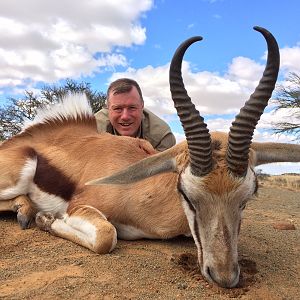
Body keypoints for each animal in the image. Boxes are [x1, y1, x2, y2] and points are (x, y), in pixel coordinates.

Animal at [0, 27, 300, 288]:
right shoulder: (80, 206)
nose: (224, 276)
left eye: (248, 197)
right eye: (187, 195)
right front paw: (47, 220)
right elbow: (107, 236)